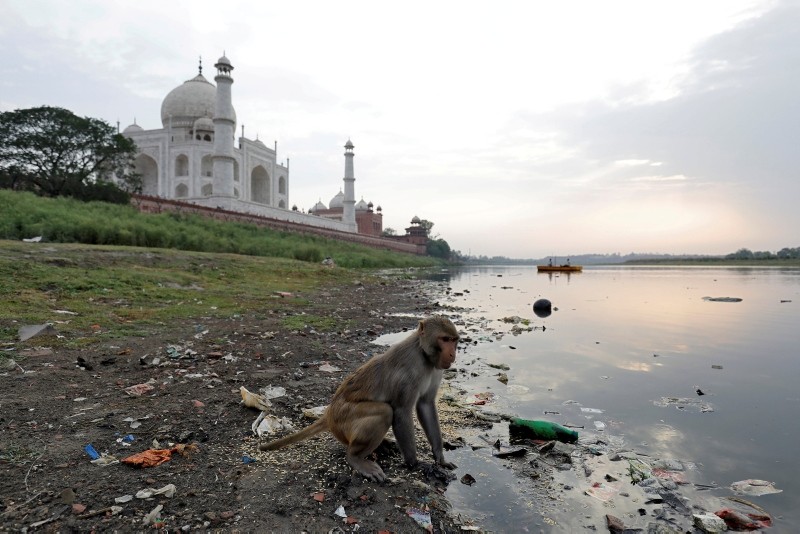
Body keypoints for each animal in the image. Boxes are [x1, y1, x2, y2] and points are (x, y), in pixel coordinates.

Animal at [259, 315, 459, 482]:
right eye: (444, 339)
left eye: (454, 341)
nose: (452, 354)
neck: (423, 354)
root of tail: (329, 413)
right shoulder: (409, 372)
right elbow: (401, 411)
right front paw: (415, 464)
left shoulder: (436, 369)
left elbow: (426, 405)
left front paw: (439, 458)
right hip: (343, 419)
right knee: (385, 412)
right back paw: (355, 458)